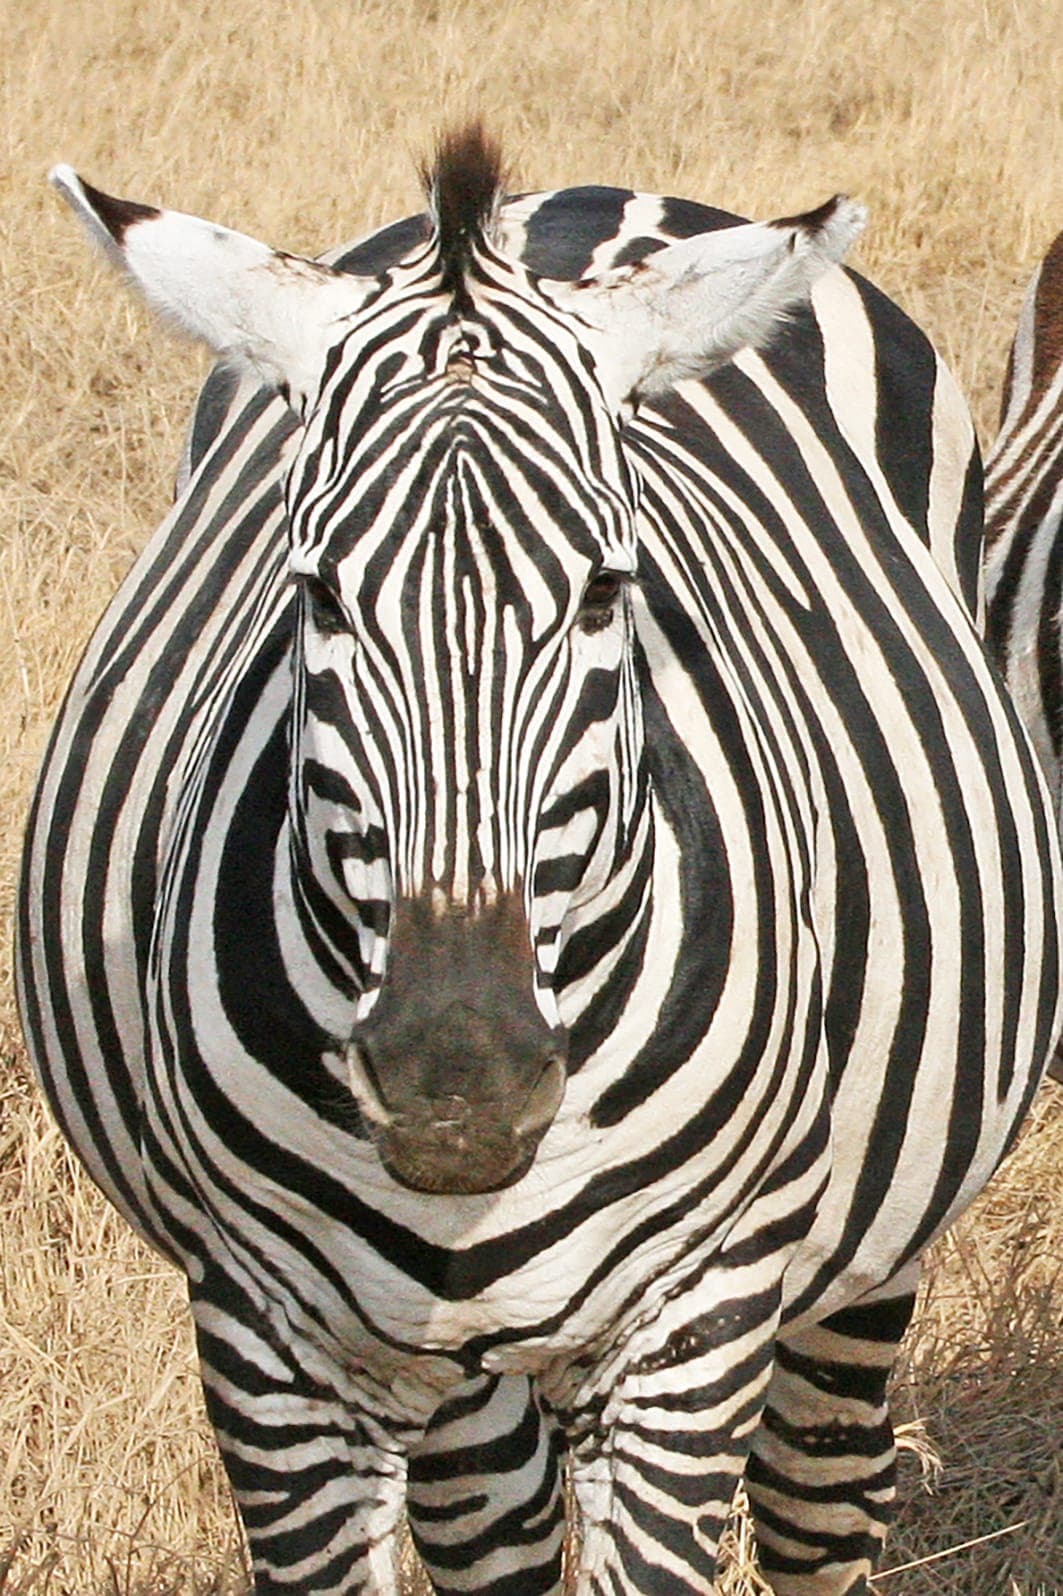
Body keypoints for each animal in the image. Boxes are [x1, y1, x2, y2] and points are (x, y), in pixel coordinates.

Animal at [17, 125, 1062, 1595]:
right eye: (315, 592)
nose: (455, 1083)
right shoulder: (265, 1341)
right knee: (495, 1521)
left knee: (817, 1497)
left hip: (861, 1254)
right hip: (461, 1378)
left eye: (604, 590)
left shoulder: (689, 1328)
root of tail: (589, 197)